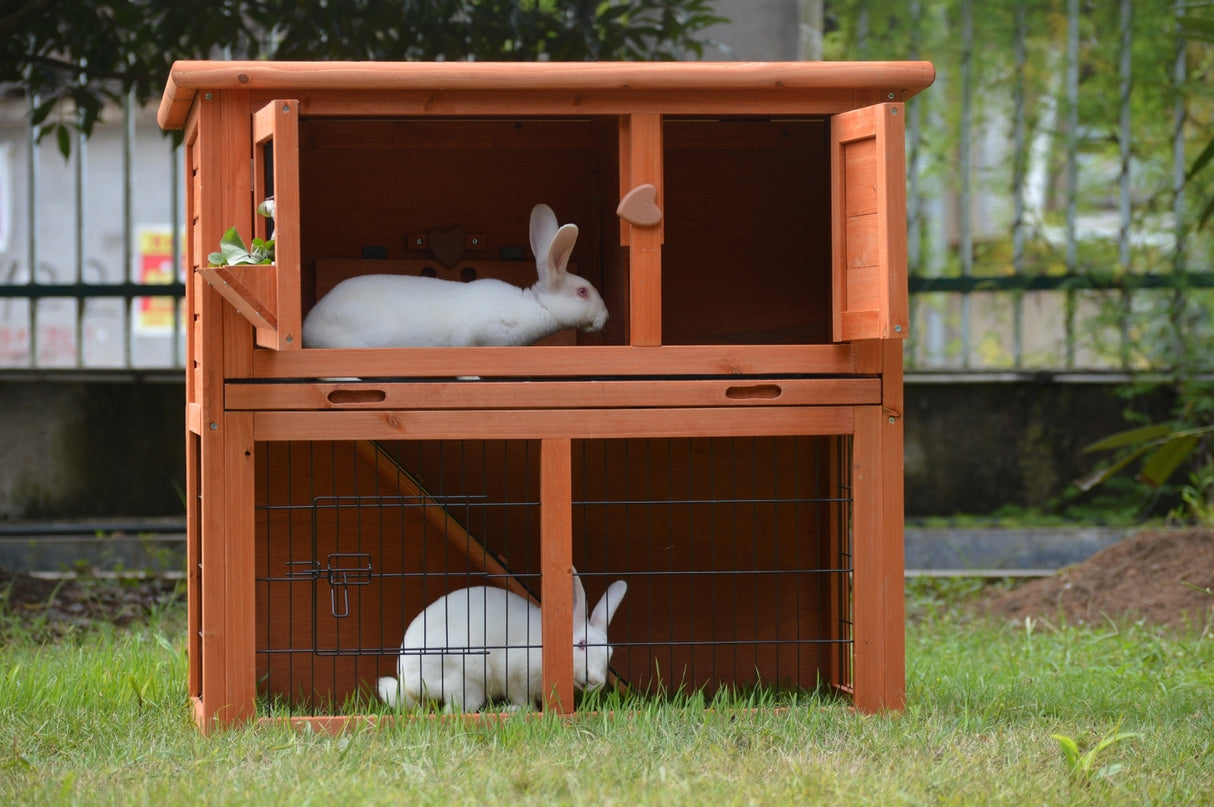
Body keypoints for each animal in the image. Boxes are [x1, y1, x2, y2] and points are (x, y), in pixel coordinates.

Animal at [376, 571, 627, 712]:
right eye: (581, 644)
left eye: (610, 653)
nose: (596, 680)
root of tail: (407, 681)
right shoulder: (515, 674)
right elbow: (523, 699)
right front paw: (519, 709)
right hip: (465, 678)